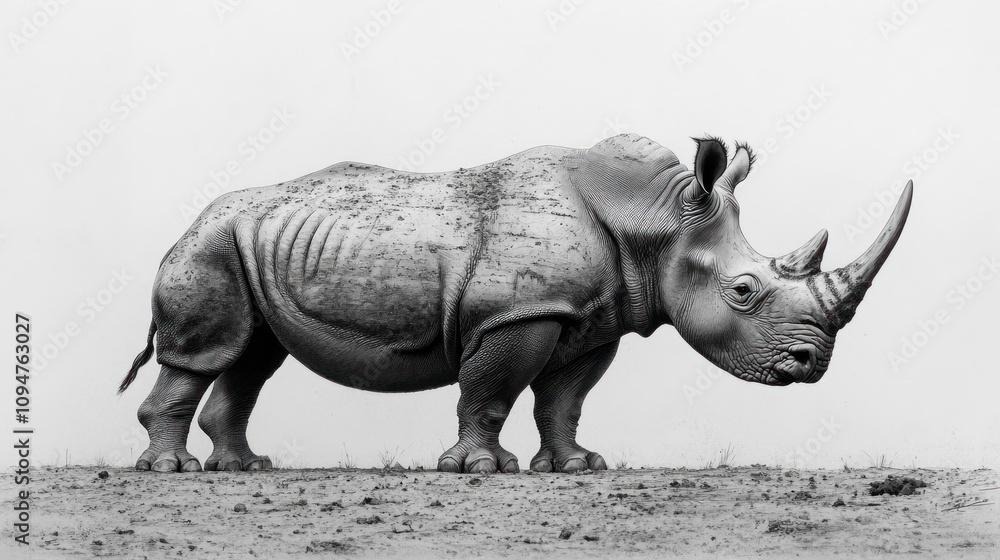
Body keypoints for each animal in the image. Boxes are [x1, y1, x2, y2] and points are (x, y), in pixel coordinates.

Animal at [119, 134, 912, 474]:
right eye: (744, 292)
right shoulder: (520, 313)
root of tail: (194, 218)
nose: (810, 364)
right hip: (211, 243)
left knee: (253, 356)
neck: (654, 224)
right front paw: (479, 469)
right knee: (207, 353)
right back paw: (173, 473)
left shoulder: (590, 318)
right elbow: (492, 389)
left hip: (250, 243)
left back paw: (246, 469)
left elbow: (564, 399)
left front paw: (578, 467)